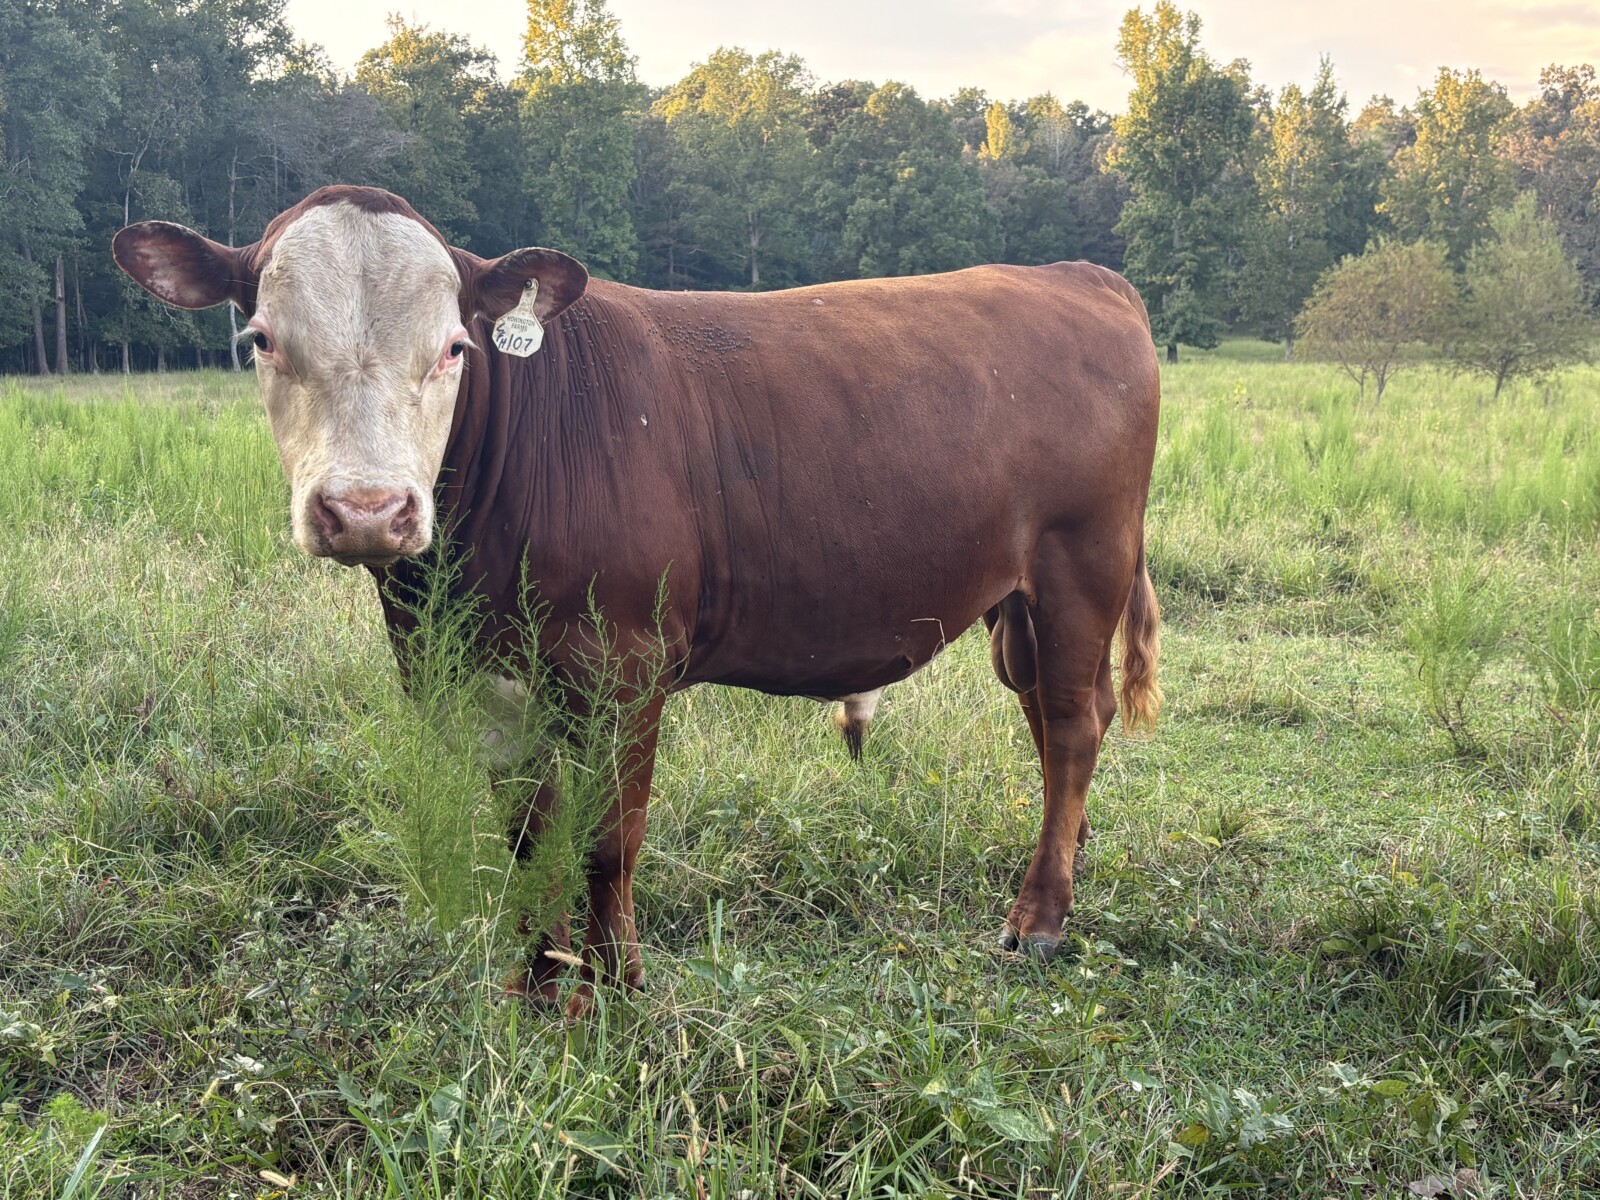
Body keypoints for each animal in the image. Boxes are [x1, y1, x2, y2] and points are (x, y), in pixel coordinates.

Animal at [113, 185, 1161, 1015]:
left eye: (454, 348)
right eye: (261, 340)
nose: (367, 511)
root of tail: (1079, 276)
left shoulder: (625, 661)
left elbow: (609, 839)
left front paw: (615, 983)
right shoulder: (484, 675)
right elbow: (530, 834)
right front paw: (539, 981)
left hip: (1083, 563)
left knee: (1074, 723)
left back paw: (1038, 918)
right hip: (1016, 604)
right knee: (1053, 718)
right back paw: (1067, 860)